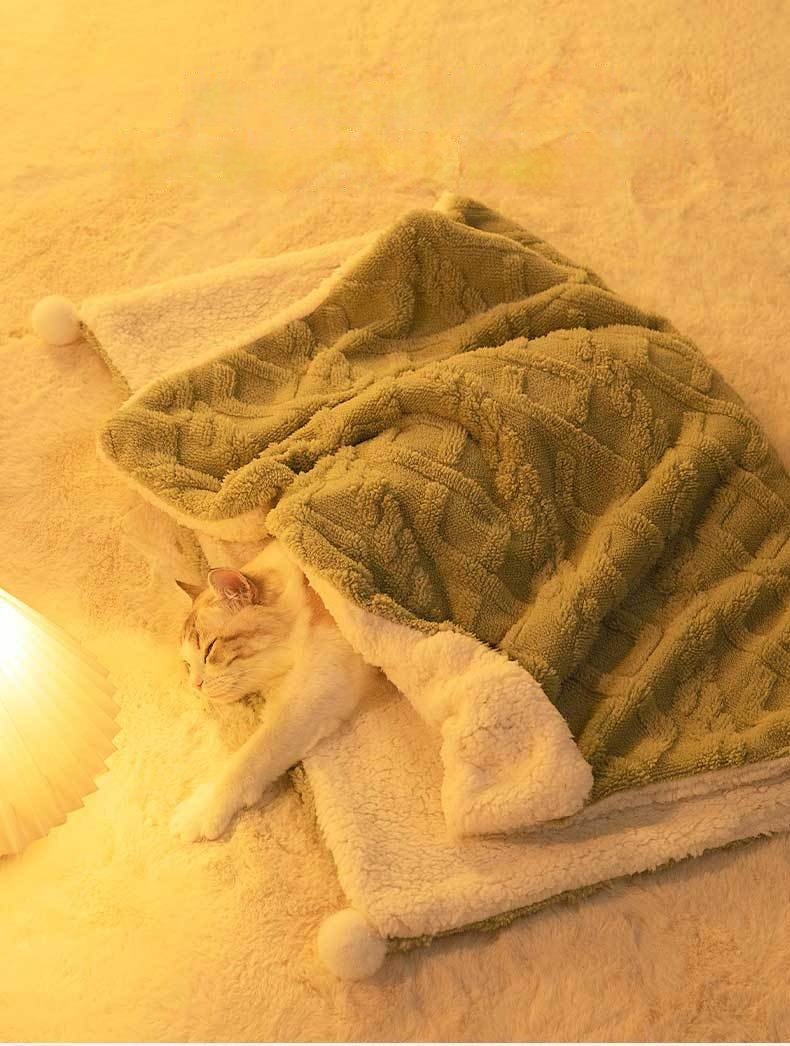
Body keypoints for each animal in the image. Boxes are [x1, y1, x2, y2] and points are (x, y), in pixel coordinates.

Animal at [169, 539, 376, 843]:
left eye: (209, 651)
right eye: (187, 664)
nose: (195, 685)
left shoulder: (319, 684)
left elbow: (252, 755)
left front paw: (201, 810)